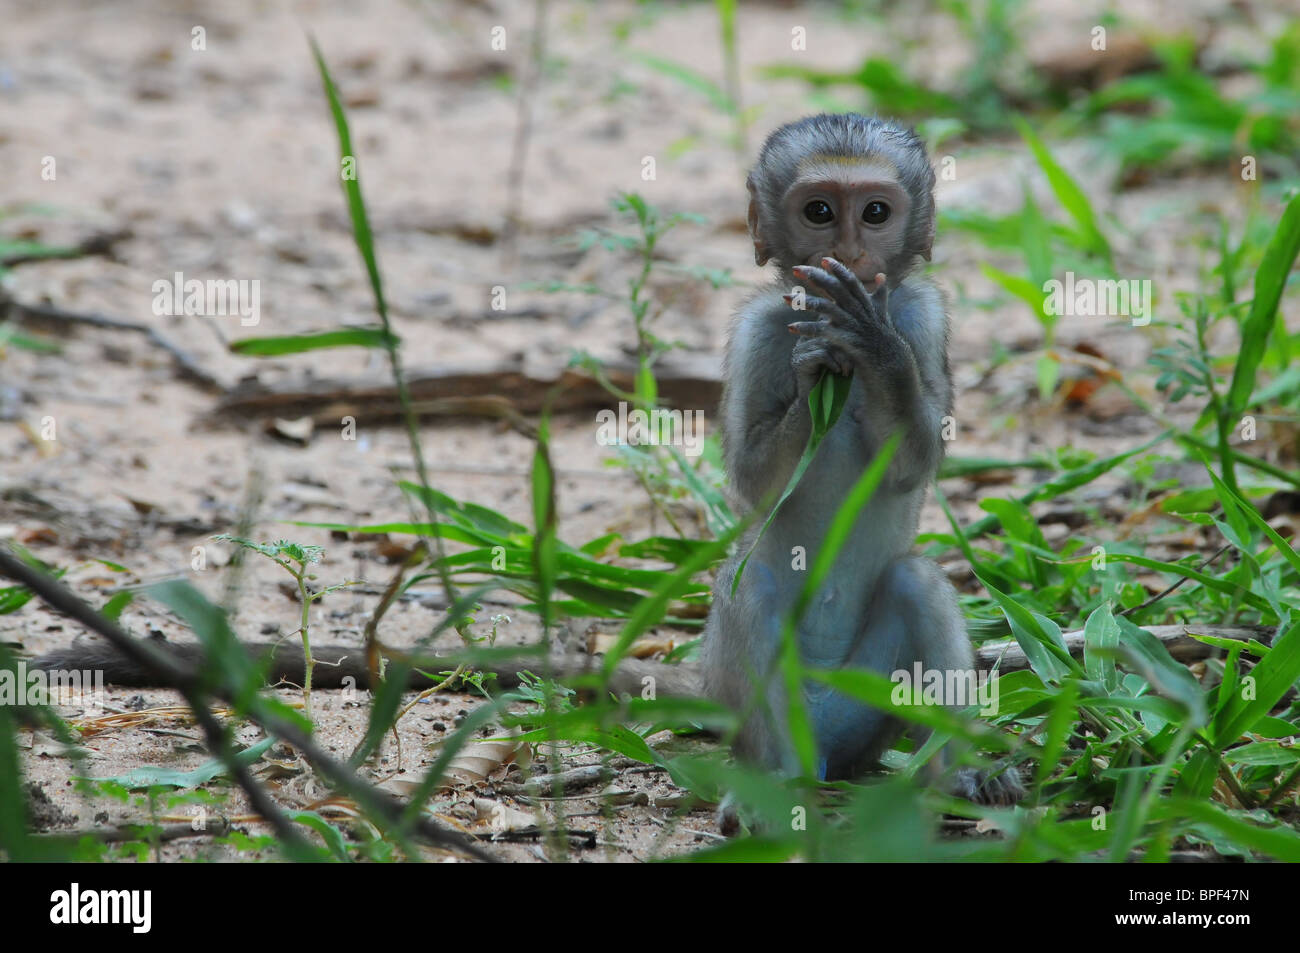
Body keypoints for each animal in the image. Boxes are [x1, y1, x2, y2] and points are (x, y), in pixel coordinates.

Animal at [700, 113, 1021, 803]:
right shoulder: (757, 328)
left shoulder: (923, 315)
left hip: (871, 711)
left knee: (916, 581)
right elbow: (752, 480)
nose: (846, 253)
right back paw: (780, 782)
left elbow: (913, 462)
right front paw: (814, 371)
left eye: (875, 212)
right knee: (750, 581)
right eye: (819, 211)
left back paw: (955, 772)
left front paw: (875, 346)